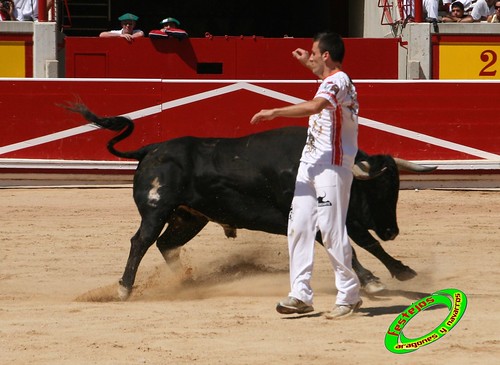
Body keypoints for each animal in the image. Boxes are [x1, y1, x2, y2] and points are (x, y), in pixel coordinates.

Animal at [67, 102, 438, 298]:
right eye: (377, 190)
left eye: (396, 189)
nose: (392, 231)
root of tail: (152, 149)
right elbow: (352, 244)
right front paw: (374, 280)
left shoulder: (341, 216)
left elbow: (363, 242)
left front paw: (400, 272)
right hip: (156, 210)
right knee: (141, 241)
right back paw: (125, 289)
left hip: (190, 217)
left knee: (165, 244)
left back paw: (188, 281)